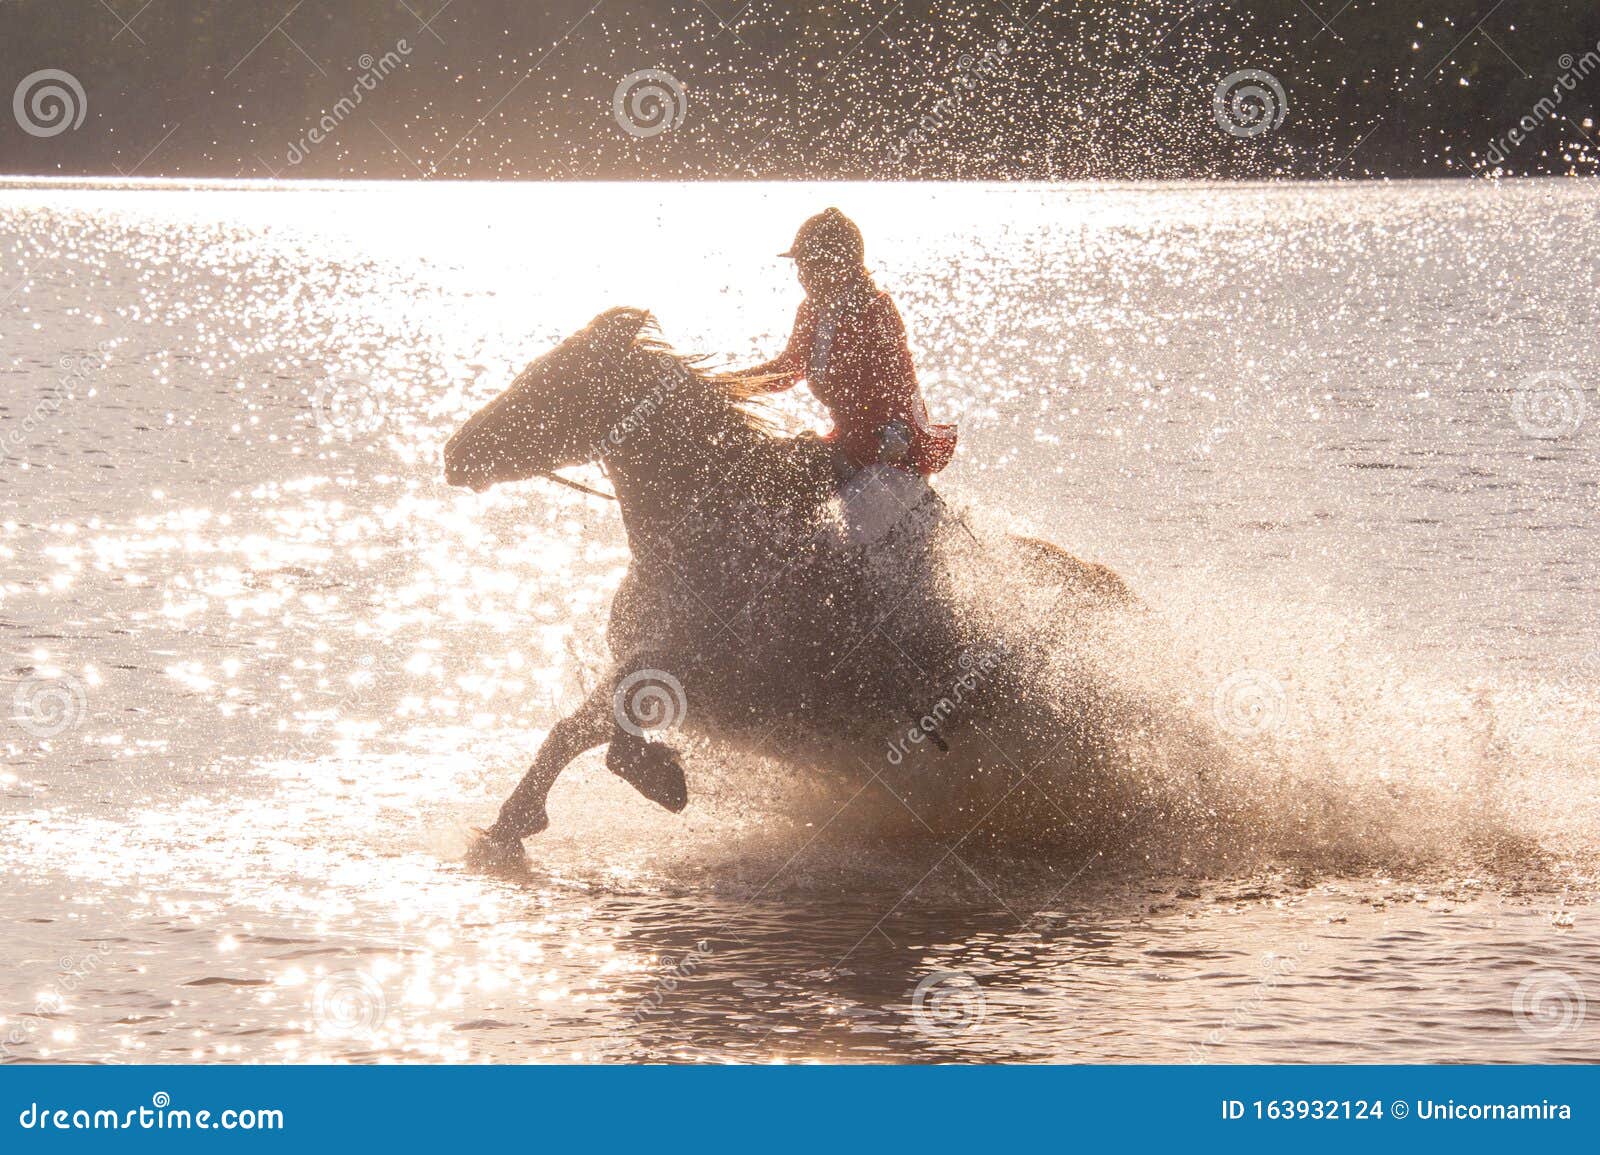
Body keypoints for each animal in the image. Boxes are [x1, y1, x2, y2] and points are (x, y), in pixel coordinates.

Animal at [438, 308, 1139, 863]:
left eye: (547, 383)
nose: (453, 454)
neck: (712, 527)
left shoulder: (722, 676)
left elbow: (604, 732)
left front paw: (658, 780)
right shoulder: (658, 665)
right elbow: (578, 728)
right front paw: (510, 826)